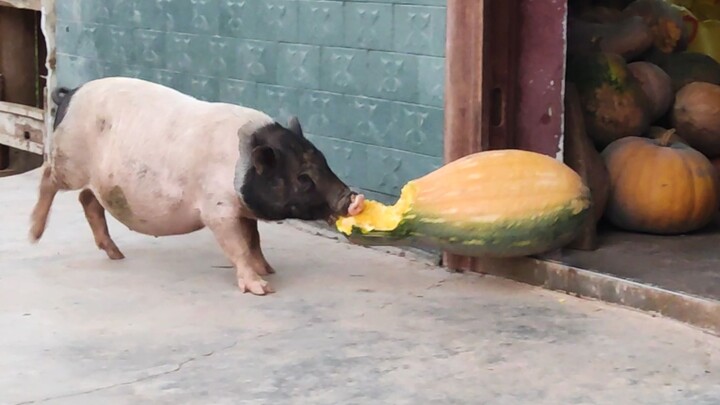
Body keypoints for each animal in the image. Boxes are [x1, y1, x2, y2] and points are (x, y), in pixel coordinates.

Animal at [29, 77, 365, 295]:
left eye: (323, 159)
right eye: (303, 177)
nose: (352, 197)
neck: (242, 165)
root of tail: (69, 94)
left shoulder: (242, 209)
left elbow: (253, 239)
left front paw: (269, 269)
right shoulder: (218, 209)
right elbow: (237, 245)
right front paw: (263, 288)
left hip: (98, 178)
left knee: (87, 199)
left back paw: (116, 254)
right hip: (69, 159)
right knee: (48, 177)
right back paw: (34, 235)